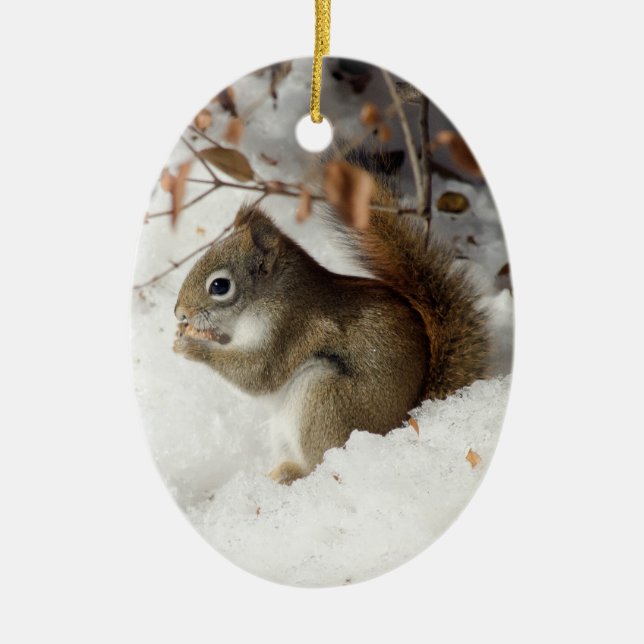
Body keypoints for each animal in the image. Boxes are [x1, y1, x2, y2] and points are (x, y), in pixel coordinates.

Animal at [173, 171, 489, 485]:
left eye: (219, 286)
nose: (179, 314)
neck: (269, 297)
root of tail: (407, 417)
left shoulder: (288, 329)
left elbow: (259, 374)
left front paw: (193, 347)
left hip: (323, 398)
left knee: (321, 462)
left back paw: (291, 473)